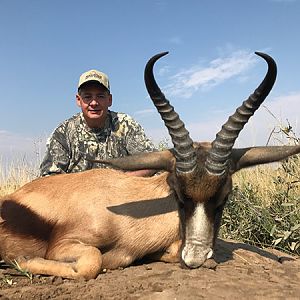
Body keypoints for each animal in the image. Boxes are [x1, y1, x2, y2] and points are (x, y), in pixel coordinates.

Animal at [0, 52, 300, 280]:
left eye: (224, 197)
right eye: (179, 194)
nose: (195, 257)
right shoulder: (64, 245)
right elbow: (93, 262)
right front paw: (24, 261)